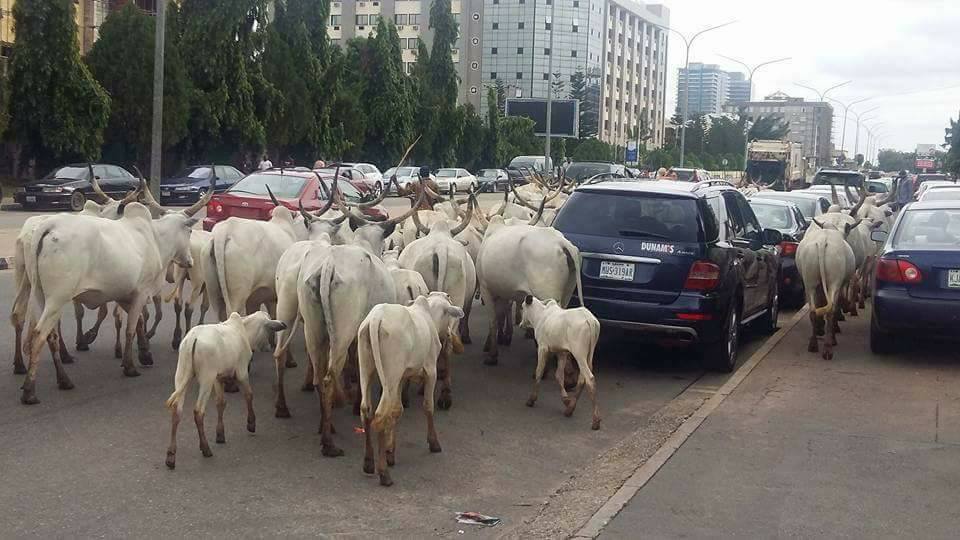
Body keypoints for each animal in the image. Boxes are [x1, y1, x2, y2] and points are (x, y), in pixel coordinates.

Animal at [163, 312, 284, 468]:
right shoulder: (242, 371)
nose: (269, 347)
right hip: (206, 378)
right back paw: (205, 448)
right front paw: (251, 424)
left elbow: (221, 403)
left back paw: (171, 456)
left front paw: (220, 434)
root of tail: (192, 339)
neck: (242, 330)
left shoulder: (218, 378)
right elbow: (249, 395)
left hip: (182, 374)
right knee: (198, 411)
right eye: (269, 329)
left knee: (176, 411)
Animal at [358, 294, 466, 488]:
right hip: (390, 375)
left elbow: (397, 410)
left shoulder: (402, 377)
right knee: (380, 415)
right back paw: (384, 473)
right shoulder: (431, 371)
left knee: (366, 410)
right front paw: (434, 442)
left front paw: (390, 451)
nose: (449, 334)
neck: (429, 315)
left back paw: (369, 462)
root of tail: (376, 318)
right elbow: (428, 406)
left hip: (366, 368)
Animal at [516, 296, 600, 430]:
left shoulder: (543, 348)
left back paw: (596, 420)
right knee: (582, 379)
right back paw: (570, 408)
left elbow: (539, 372)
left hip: (579, 354)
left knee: (590, 378)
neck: (540, 316)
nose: (520, 324)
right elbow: (559, 375)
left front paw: (532, 399)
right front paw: (566, 400)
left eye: (522, 307)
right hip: (588, 355)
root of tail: (589, 319)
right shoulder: (562, 353)